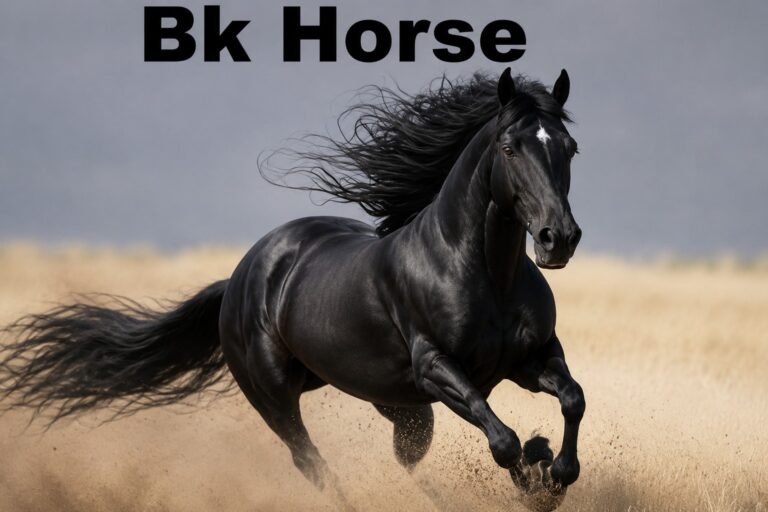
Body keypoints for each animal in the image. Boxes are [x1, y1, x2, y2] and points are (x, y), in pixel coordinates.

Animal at [0, 68, 584, 511]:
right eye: (509, 147)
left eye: (570, 148)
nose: (558, 239)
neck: (485, 272)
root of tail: (238, 280)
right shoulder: (437, 368)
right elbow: (502, 440)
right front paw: (537, 484)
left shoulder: (529, 358)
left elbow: (571, 399)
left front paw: (554, 471)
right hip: (278, 398)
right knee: (313, 464)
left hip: (391, 400)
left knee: (406, 462)